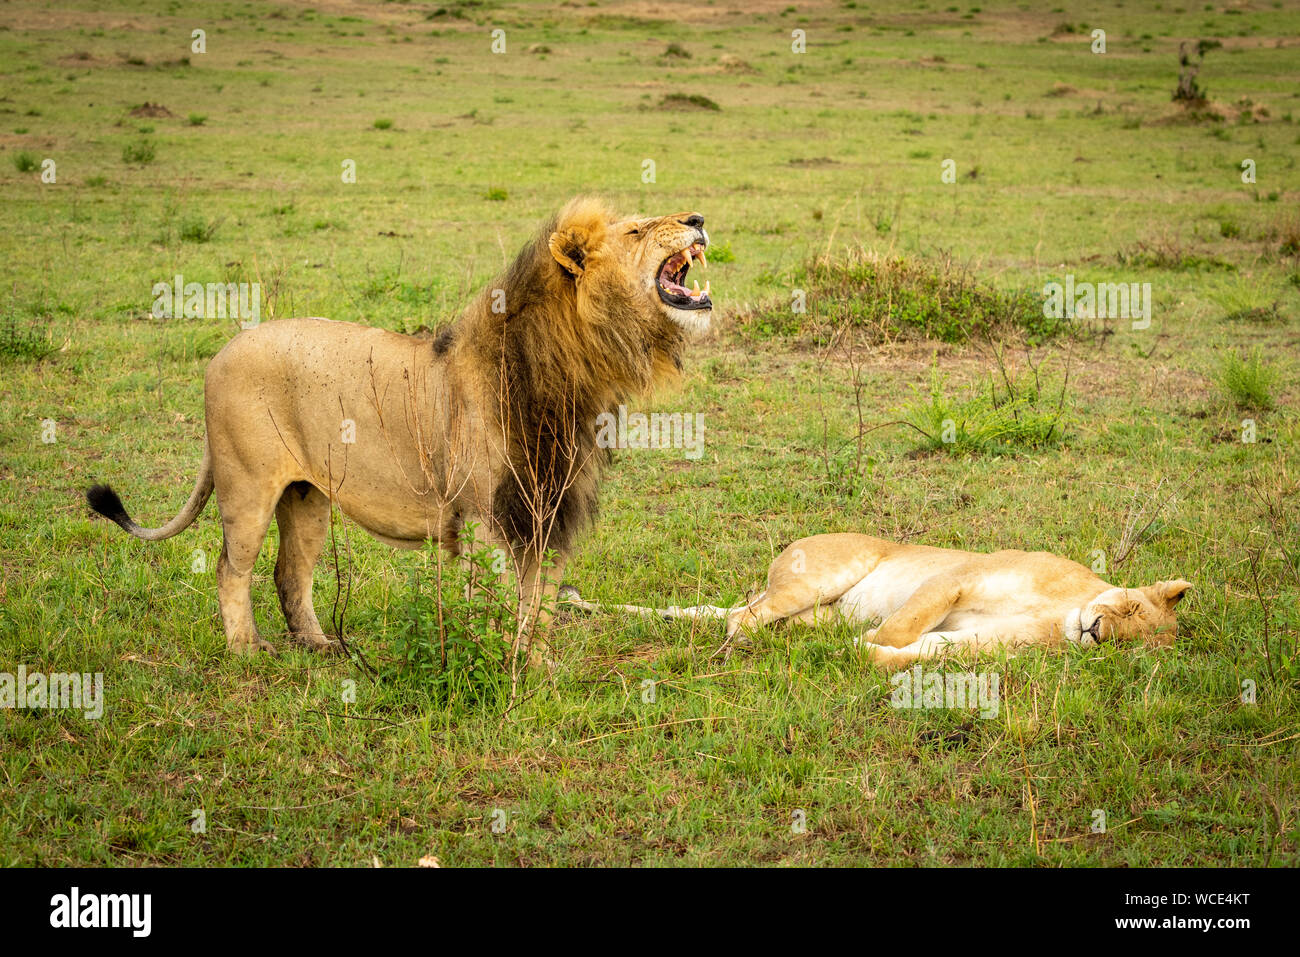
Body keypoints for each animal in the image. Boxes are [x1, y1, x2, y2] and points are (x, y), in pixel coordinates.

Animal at [86, 200, 717, 665]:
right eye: (636, 229)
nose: (697, 219)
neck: (573, 369)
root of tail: (221, 352)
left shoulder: (550, 514)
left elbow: (537, 607)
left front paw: (535, 667)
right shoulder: (488, 518)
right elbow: (494, 607)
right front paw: (496, 666)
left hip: (307, 496)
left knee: (291, 572)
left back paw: (320, 645)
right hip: (247, 488)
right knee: (231, 569)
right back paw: (247, 651)